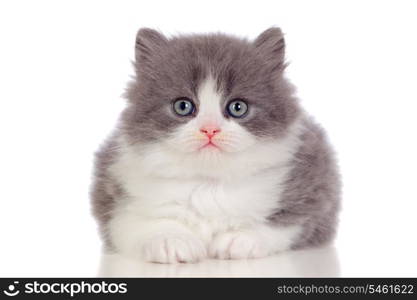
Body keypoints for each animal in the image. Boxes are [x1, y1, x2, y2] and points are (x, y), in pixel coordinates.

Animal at [89, 27, 340, 262]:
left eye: (238, 107)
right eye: (183, 106)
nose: (210, 130)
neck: (208, 185)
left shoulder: (315, 197)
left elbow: (284, 223)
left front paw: (241, 239)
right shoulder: (114, 201)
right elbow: (143, 223)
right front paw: (171, 240)